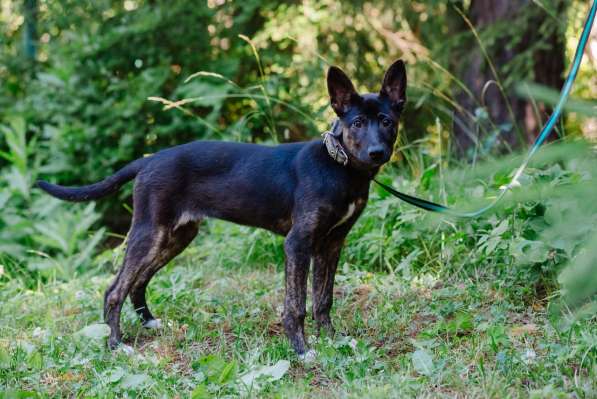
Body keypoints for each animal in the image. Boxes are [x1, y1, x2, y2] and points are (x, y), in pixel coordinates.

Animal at [37, 60, 408, 360]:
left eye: (387, 121)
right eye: (357, 122)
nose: (376, 153)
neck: (340, 166)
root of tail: (149, 161)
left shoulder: (332, 243)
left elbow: (323, 299)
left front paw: (333, 340)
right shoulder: (298, 243)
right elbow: (296, 305)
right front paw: (302, 351)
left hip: (177, 235)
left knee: (138, 281)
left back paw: (150, 323)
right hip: (151, 231)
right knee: (114, 290)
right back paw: (116, 344)